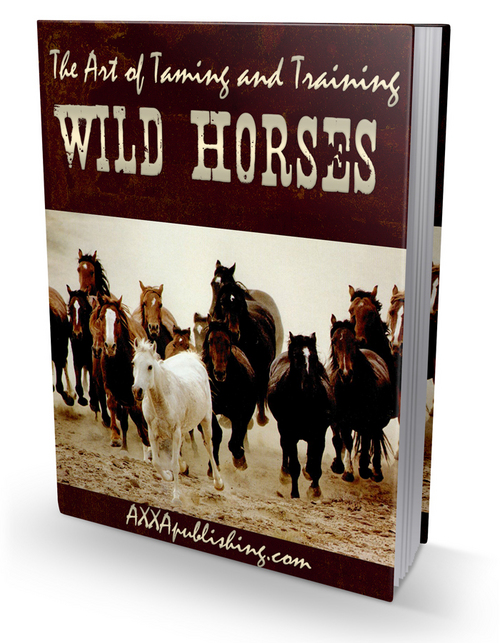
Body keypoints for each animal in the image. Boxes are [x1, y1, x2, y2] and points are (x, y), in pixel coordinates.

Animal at [89, 295, 150, 458]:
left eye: (117, 319)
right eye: (101, 318)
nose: (110, 346)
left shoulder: (133, 391)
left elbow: (137, 414)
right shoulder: (110, 386)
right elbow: (111, 404)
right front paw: (115, 437)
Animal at [132, 339, 224, 505]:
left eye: (150, 366)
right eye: (134, 363)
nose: (137, 391)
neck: (161, 400)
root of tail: (192, 357)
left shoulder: (175, 431)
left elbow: (173, 464)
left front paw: (175, 497)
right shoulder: (153, 432)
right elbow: (156, 462)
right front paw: (168, 475)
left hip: (206, 419)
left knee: (209, 445)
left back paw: (218, 483)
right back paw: (183, 466)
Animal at [202, 319, 257, 470]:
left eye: (227, 343)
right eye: (210, 341)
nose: (219, 372)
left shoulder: (242, 411)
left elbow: (236, 438)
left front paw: (239, 460)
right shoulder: (211, 410)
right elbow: (216, 434)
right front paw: (212, 466)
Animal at [268, 333, 332, 499]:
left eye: (314, 356)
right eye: (296, 356)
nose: (309, 385)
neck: (305, 402)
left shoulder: (319, 434)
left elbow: (315, 463)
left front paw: (314, 489)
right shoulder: (289, 433)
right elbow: (294, 465)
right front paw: (295, 493)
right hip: (284, 431)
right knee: (285, 449)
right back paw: (284, 475)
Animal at [329, 316, 393, 483]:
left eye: (354, 341)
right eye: (334, 341)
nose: (346, 374)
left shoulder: (367, 421)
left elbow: (366, 441)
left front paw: (363, 468)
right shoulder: (343, 421)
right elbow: (346, 441)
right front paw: (346, 470)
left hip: (379, 421)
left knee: (375, 438)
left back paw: (376, 471)